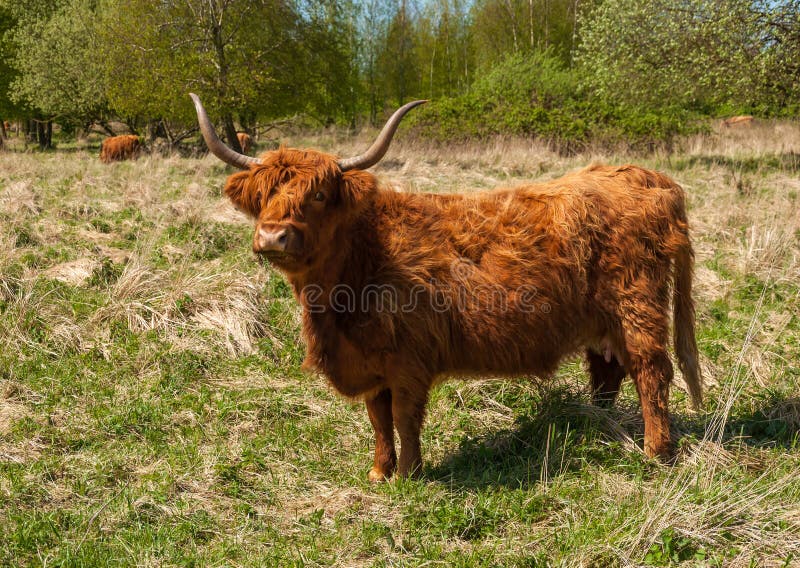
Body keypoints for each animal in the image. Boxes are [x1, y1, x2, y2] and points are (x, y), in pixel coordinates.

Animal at [190, 93, 702, 481]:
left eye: (317, 194)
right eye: (263, 196)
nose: (272, 236)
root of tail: (649, 177)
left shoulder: (409, 361)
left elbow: (403, 417)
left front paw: (410, 475)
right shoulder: (372, 365)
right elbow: (377, 419)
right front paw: (379, 472)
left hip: (638, 309)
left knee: (652, 373)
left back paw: (656, 452)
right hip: (604, 324)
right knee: (609, 374)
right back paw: (600, 426)